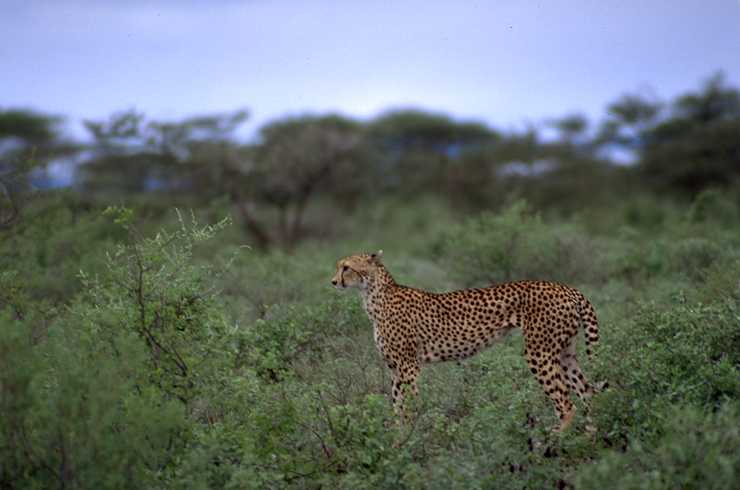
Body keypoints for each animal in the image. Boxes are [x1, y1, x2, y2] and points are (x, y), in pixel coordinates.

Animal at [331, 250, 601, 432]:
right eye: (339, 267)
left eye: (346, 267)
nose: (333, 282)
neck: (373, 295)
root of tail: (566, 288)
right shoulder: (395, 368)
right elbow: (398, 406)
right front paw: (398, 441)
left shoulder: (408, 366)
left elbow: (410, 406)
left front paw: (413, 437)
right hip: (565, 352)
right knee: (587, 393)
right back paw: (590, 439)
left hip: (539, 352)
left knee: (566, 404)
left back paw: (553, 442)